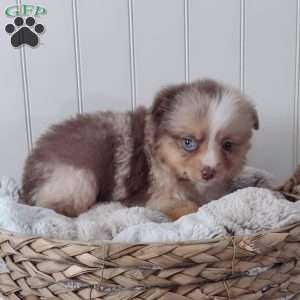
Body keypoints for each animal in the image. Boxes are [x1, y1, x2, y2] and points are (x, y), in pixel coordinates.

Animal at [22, 79, 258, 220]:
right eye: (188, 142)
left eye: (228, 145)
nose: (209, 172)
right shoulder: (150, 196)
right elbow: (189, 206)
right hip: (77, 180)